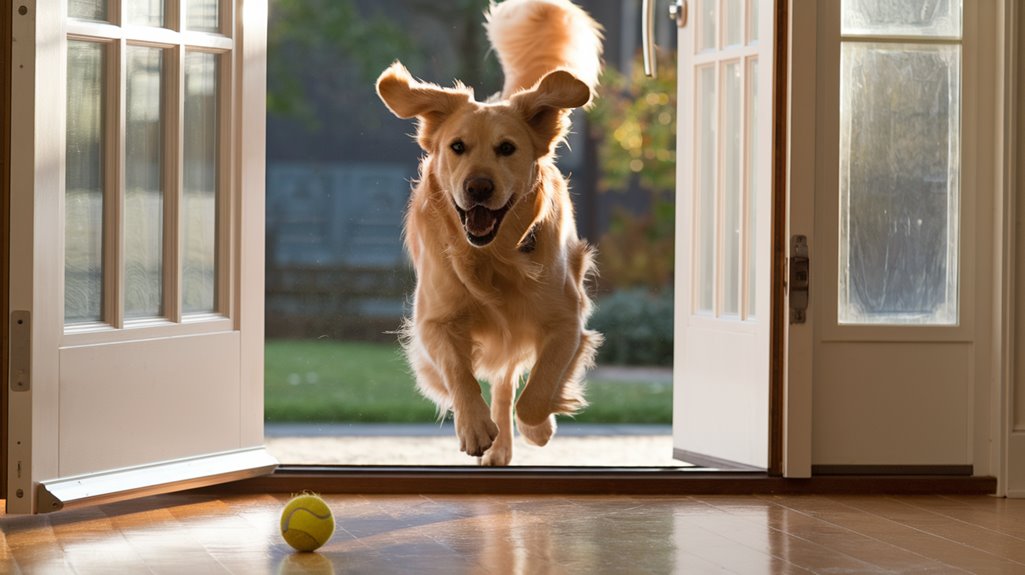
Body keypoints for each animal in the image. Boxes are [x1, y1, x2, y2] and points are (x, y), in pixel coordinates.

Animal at [375, 0, 598, 463]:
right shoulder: (435, 320)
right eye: (457, 146)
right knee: (500, 375)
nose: (478, 187)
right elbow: (458, 371)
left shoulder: (567, 320)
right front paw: (475, 427)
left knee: (509, 377)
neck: (492, 256)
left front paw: (538, 426)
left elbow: (539, 388)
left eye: (507, 148)